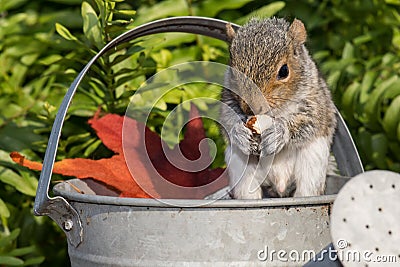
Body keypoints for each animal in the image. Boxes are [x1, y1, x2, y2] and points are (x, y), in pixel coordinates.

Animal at [220, 17, 336, 199]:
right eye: (232, 72)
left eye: (284, 71)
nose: (251, 108)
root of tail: (279, 186)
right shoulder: (228, 99)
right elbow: (227, 120)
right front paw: (239, 132)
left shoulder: (315, 101)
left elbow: (309, 122)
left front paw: (280, 132)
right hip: (240, 165)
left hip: (313, 161)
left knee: (307, 189)